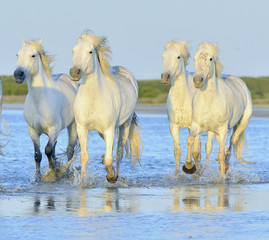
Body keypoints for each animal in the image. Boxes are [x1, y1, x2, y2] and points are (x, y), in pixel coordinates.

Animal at [13, 39, 78, 176]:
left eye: (33, 55)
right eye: (18, 54)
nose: (18, 75)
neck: (39, 102)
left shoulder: (54, 128)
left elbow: (47, 150)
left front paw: (53, 173)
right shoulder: (33, 131)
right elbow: (38, 155)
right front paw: (38, 176)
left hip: (72, 126)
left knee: (69, 150)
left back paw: (66, 171)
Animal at [69, 31, 141, 182]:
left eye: (90, 51)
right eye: (73, 50)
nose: (74, 72)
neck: (94, 99)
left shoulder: (109, 129)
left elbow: (109, 158)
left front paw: (111, 177)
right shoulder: (82, 128)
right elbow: (84, 157)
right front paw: (83, 182)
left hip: (124, 125)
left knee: (118, 151)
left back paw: (115, 174)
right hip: (102, 132)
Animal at [160, 40, 215, 173]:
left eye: (178, 57)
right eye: (163, 57)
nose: (165, 77)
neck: (182, 100)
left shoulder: (194, 125)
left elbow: (196, 151)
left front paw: (191, 168)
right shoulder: (173, 126)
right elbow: (177, 151)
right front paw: (177, 174)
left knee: (206, 148)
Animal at [183, 42, 252, 179]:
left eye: (210, 59)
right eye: (194, 58)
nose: (198, 80)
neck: (209, 101)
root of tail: (240, 82)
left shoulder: (223, 128)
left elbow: (220, 153)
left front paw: (222, 179)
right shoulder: (196, 126)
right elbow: (191, 141)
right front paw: (188, 167)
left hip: (241, 123)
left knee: (232, 142)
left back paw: (225, 165)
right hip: (212, 130)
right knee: (215, 145)